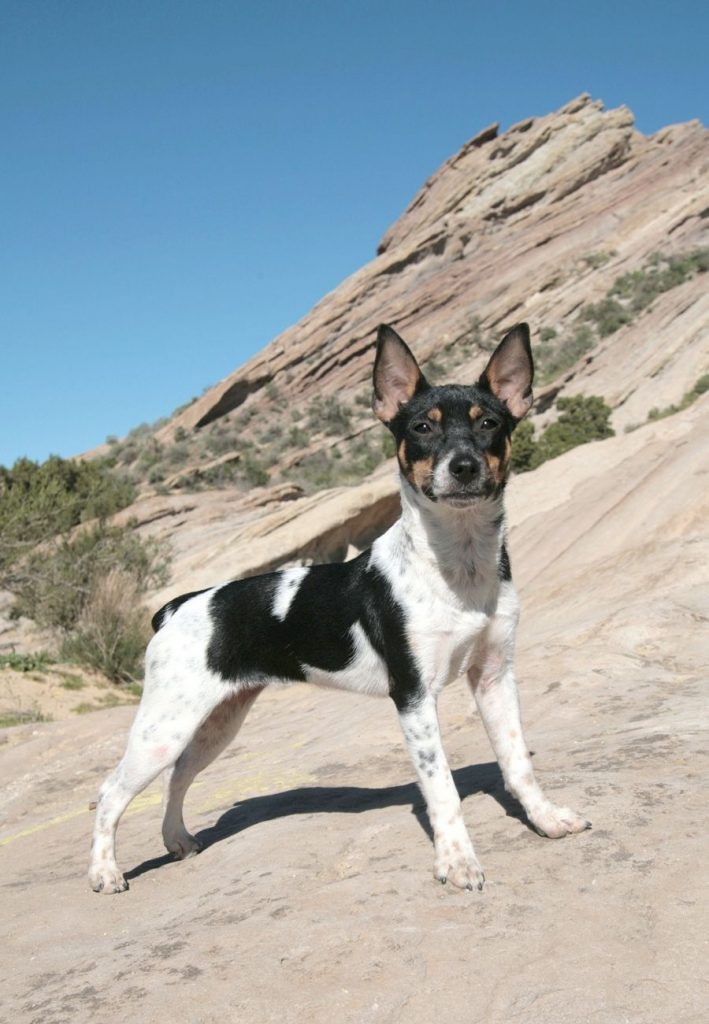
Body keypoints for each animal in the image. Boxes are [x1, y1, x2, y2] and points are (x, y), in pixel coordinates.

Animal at [87, 323, 586, 892]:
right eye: (422, 427)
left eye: (489, 424)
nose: (463, 466)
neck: (457, 568)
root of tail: (176, 608)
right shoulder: (414, 697)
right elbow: (442, 788)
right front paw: (457, 862)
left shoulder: (495, 676)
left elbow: (517, 761)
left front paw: (545, 819)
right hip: (165, 727)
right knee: (110, 792)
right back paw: (104, 873)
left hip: (215, 723)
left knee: (177, 778)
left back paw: (178, 841)